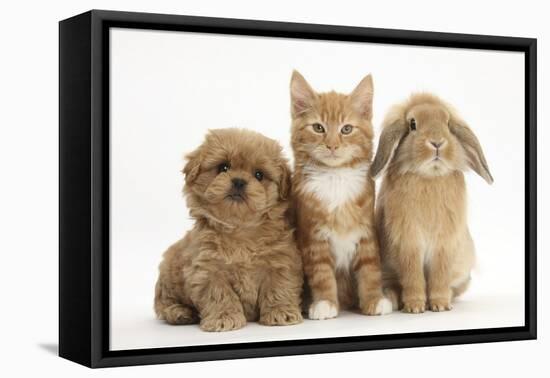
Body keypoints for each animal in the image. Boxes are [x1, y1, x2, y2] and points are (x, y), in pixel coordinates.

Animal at [153, 128, 304, 332]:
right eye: (223, 167)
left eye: (259, 174)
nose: (239, 181)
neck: (239, 230)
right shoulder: (207, 271)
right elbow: (220, 295)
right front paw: (224, 318)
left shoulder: (281, 262)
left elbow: (279, 288)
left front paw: (281, 313)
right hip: (167, 273)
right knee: (163, 303)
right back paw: (179, 312)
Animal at [288, 71, 392, 318]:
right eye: (318, 128)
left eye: (346, 129)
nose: (332, 146)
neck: (335, 177)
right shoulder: (313, 237)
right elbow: (322, 274)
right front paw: (325, 303)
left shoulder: (366, 231)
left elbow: (370, 269)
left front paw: (375, 299)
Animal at [370, 92, 496, 314]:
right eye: (412, 124)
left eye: (447, 123)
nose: (437, 143)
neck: (429, 176)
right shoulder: (409, 243)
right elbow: (413, 277)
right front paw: (415, 307)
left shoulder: (444, 245)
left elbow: (439, 275)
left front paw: (439, 305)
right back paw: (394, 299)